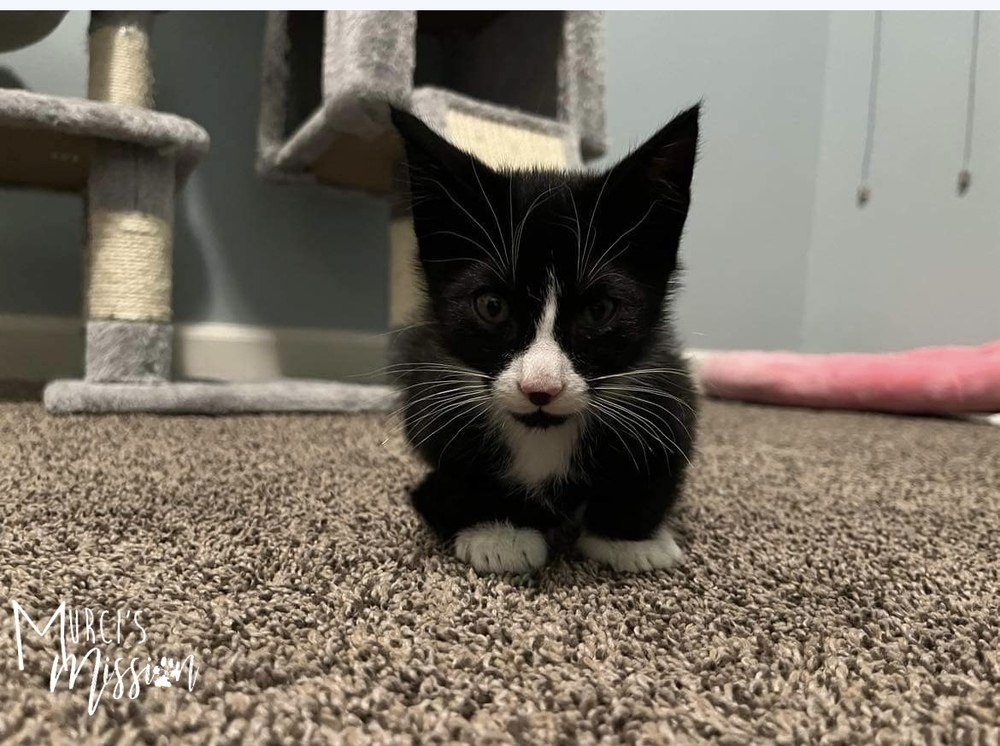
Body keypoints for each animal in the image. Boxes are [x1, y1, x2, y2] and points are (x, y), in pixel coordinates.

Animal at [386, 101, 700, 572]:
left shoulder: (665, 380)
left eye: (598, 311)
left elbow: (657, 462)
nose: (540, 388)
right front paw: (499, 532)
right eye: (492, 306)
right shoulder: (429, 391)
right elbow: (445, 484)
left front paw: (628, 540)